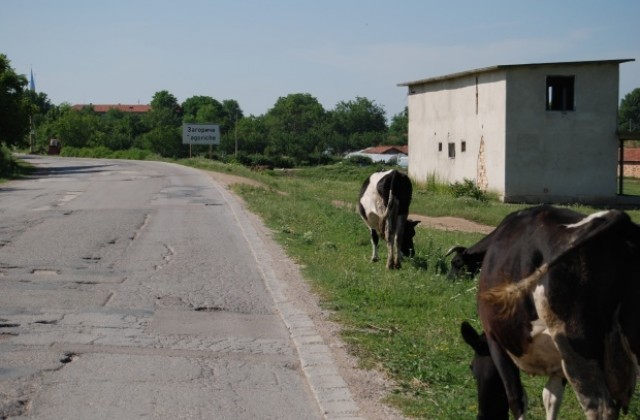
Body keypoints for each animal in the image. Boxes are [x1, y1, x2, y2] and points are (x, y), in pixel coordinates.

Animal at [462, 206, 640, 420]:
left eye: (473, 369)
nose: (481, 415)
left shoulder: (495, 339)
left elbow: (517, 399)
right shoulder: (558, 364)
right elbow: (551, 397)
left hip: (576, 347)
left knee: (600, 408)